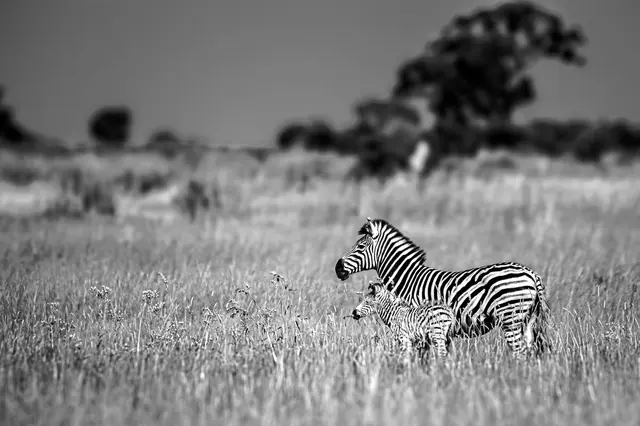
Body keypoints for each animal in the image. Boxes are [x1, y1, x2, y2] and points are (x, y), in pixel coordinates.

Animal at [335, 217, 552, 357]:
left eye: (360, 247)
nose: (337, 268)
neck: (408, 279)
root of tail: (531, 273)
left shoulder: (418, 324)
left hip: (511, 318)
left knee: (520, 353)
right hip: (528, 320)